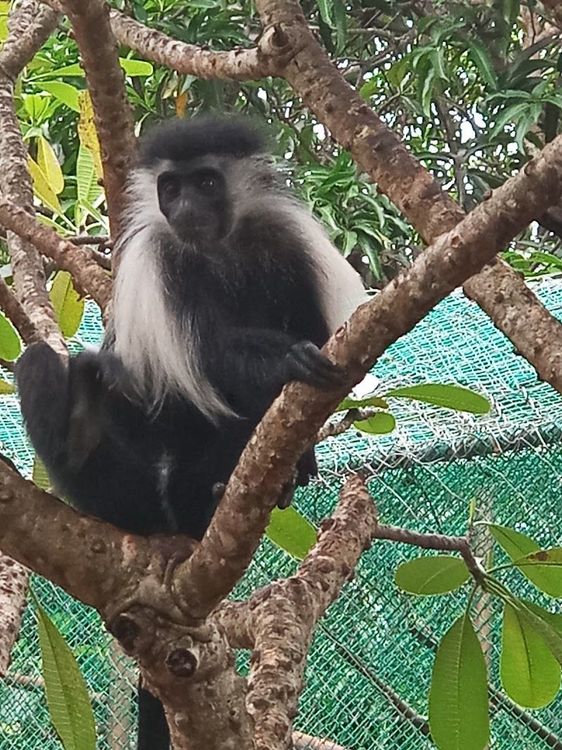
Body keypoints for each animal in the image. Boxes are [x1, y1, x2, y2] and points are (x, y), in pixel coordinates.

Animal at [16, 115, 368, 749]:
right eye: (171, 187)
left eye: (206, 182)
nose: (183, 206)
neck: (219, 247)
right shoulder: (160, 262)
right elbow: (205, 355)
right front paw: (286, 362)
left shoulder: (289, 242)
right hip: (128, 482)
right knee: (43, 366)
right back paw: (86, 431)